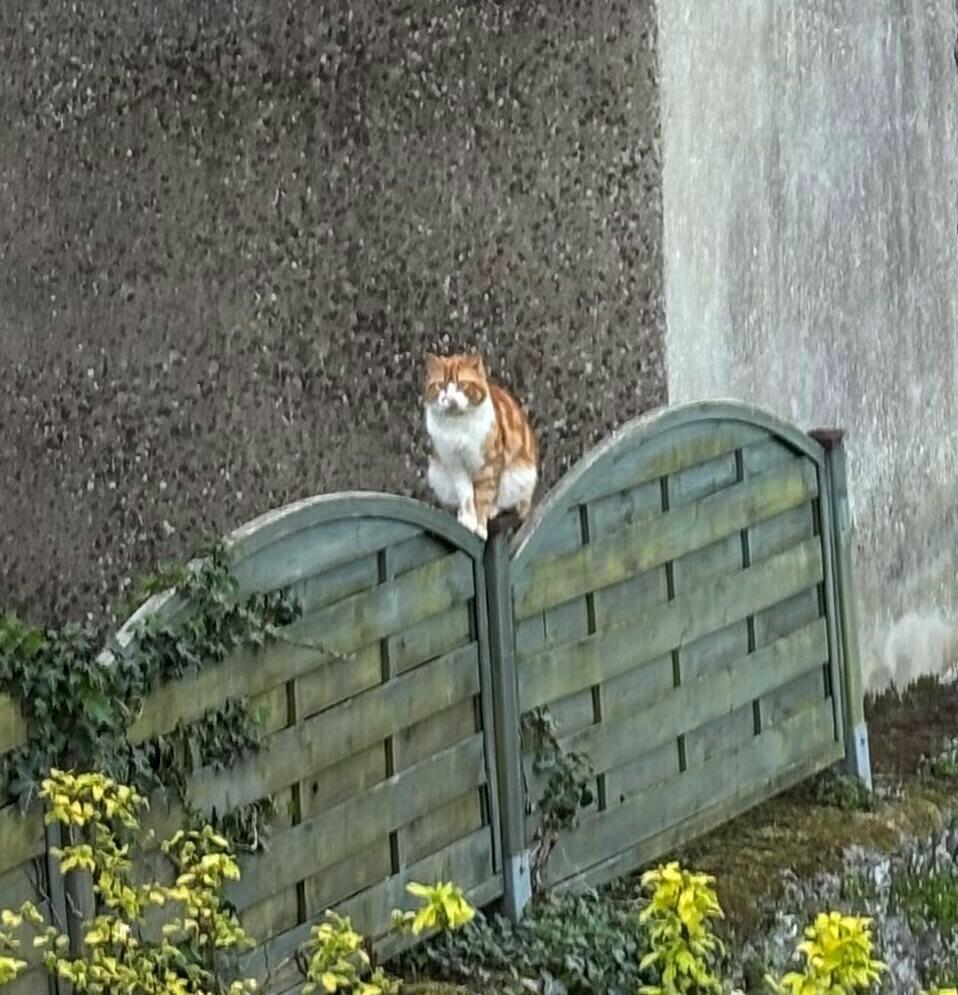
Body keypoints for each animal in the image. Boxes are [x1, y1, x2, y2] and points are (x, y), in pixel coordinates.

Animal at [423, 351, 538, 540]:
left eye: (462, 385)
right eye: (441, 385)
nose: (450, 399)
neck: (457, 425)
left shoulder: (489, 465)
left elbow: (484, 497)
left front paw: (481, 526)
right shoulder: (455, 463)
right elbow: (466, 494)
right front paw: (469, 519)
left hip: (520, 476)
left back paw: (493, 510)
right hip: (437, 475)